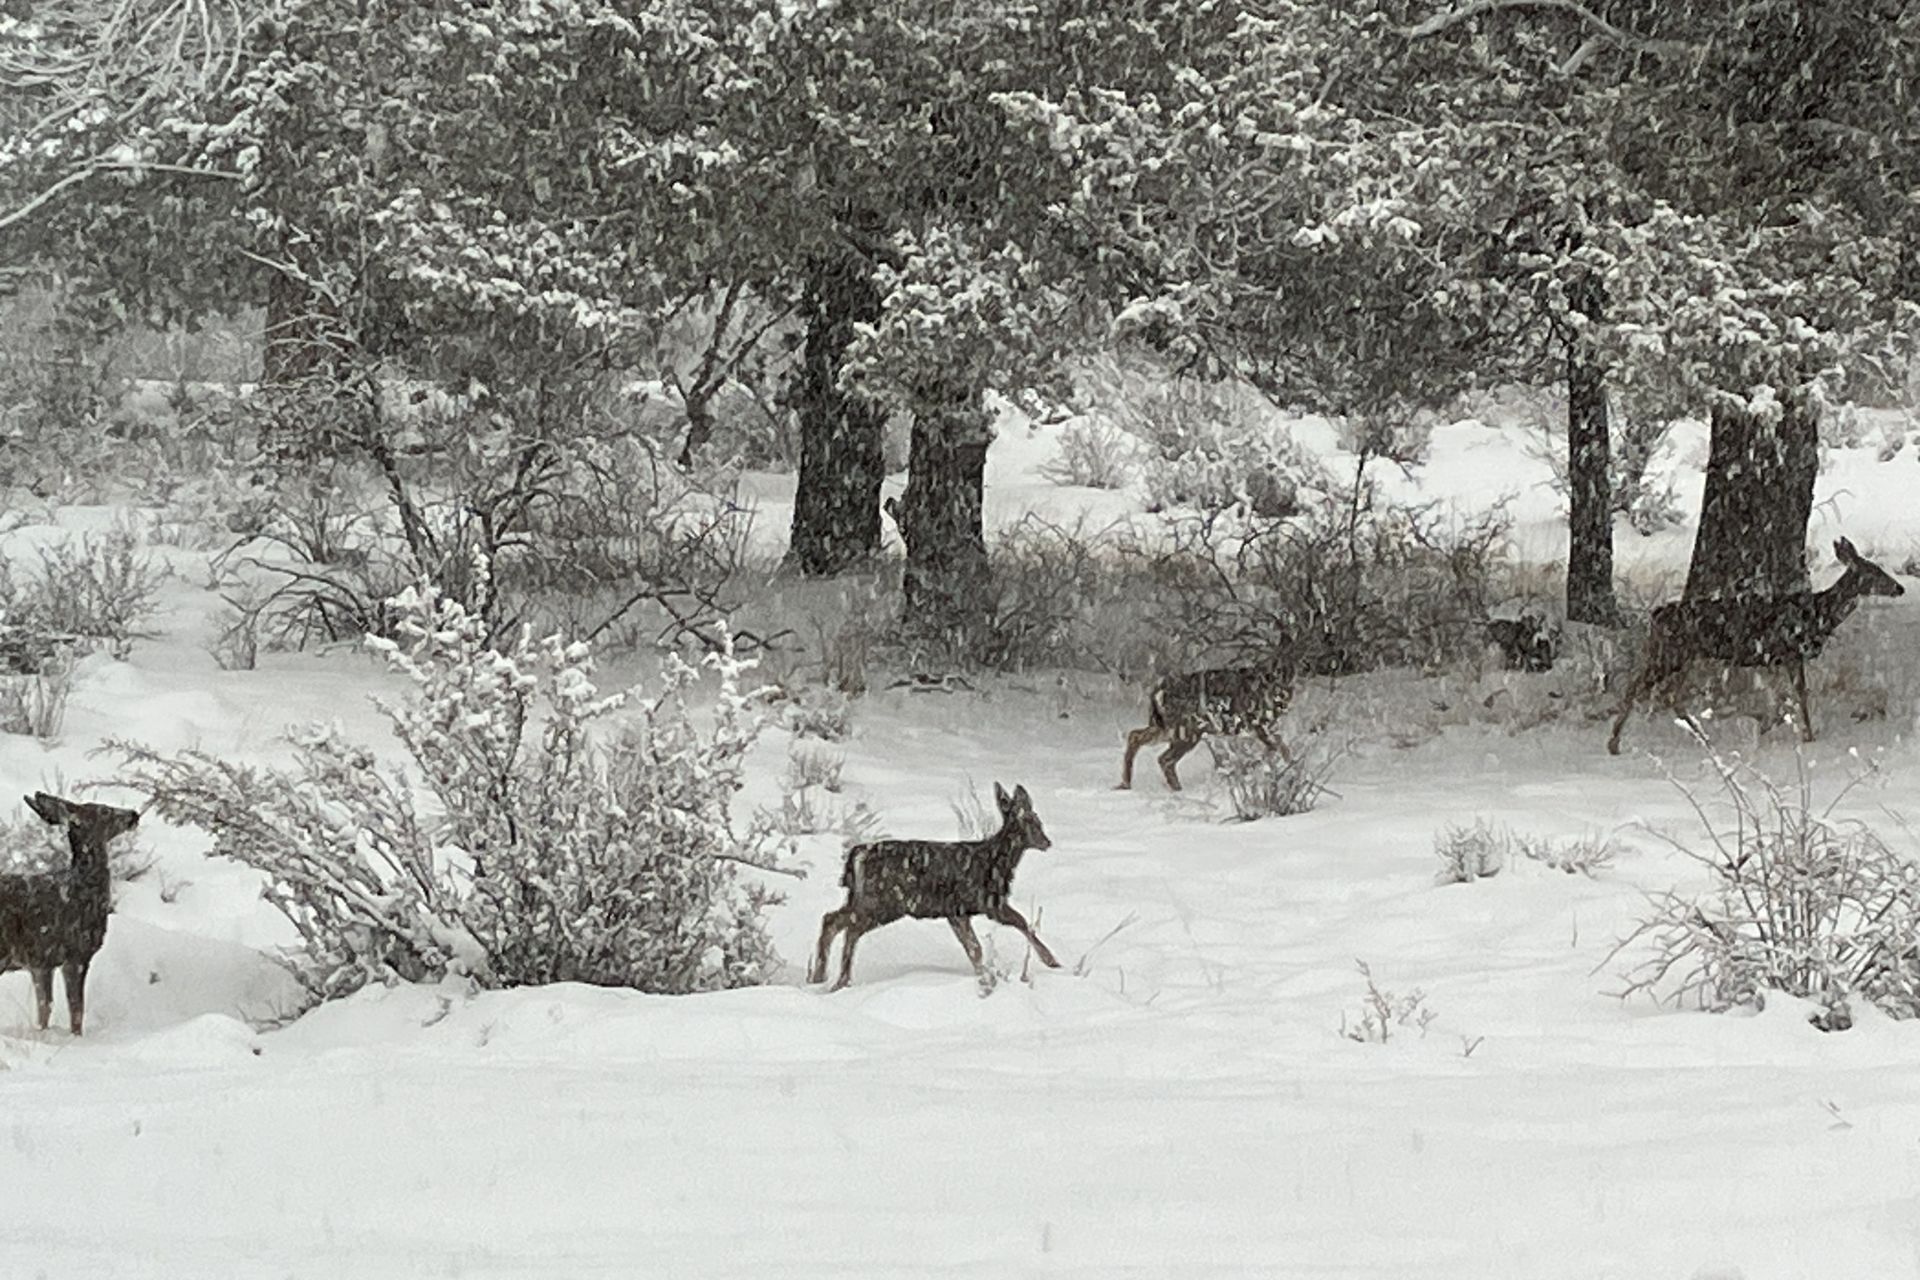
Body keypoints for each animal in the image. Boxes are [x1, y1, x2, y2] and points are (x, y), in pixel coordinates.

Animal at [0, 792, 141, 1035]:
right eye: (104, 810)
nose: (134, 814)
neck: (79, 889)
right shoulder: (75, 953)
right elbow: (76, 1009)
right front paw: (76, 1037)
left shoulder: (41, 963)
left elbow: (45, 1009)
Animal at [810, 782, 1060, 992]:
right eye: (1031, 821)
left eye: (1037, 820)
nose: (1047, 842)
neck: (996, 862)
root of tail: (858, 854)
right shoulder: (989, 902)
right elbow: (1021, 923)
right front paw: (1052, 961)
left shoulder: (957, 912)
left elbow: (974, 948)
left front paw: (984, 976)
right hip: (885, 901)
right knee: (850, 928)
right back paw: (840, 981)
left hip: (863, 898)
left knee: (832, 918)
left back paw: (819, 977)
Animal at [1120, 649, 1297, 791]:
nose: (1284, 704)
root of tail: (1158, 693)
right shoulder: (1257, 723)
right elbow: (1278, 747)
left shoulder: (1264, 727)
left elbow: (1277, 749)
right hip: (1186, 730)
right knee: (1165, 759)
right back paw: (1177, 789)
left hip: (1165, 726)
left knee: (1135, 736)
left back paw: (1125, 784)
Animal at [1606, 537, 1905, 755]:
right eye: (1874, 572)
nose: (1900, 588)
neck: (1817, 614)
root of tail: (1655, 615)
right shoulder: (1788, 652)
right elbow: (1798, 695)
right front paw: (1803, 735)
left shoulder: (1774, 658)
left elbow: (1785, 697)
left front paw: (1767, 725)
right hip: (1670, 654)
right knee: (1636, 687)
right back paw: (1614, 744)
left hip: (1686, 656)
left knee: (1670, 695)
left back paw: (1703, 737)